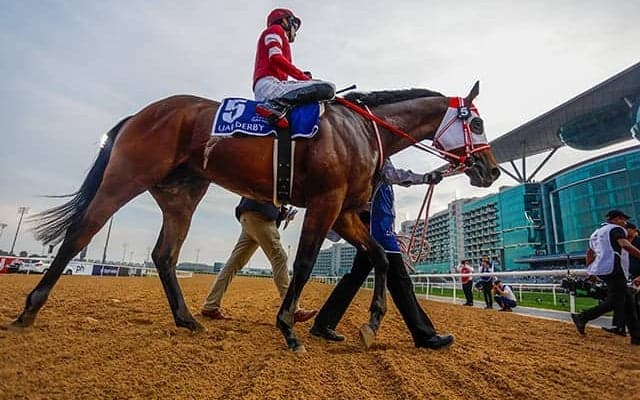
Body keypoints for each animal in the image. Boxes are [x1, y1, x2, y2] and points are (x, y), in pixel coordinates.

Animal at [12, 82, 500, 351]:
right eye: (476, 124)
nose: (490, 169)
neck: (362, 130)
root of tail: (144, 112)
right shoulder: (326, 202)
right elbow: (304, 263)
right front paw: (288, 327)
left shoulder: (344, 211)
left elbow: (379, 255)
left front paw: (373, 321)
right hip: (127, 175)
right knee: (81, 232)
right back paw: (29, 309)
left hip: (181, 195)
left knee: (164, 254)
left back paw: (187, 319)